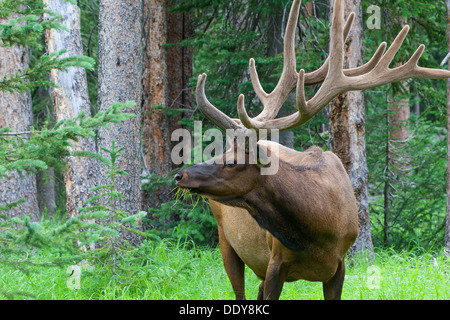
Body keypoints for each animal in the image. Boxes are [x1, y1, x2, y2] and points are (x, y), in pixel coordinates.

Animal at [173, 0, 450, 300]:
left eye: (233, 161)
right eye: (220, 152)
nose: (180, 175)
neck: (316, 232)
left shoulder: (339, 267)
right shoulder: (275, 262)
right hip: (227, 239)